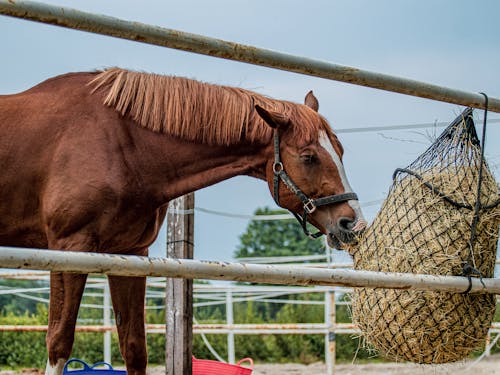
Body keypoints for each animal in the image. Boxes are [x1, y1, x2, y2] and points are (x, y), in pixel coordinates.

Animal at [0, 68, 368, 375]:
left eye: (340, 152)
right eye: (309, 157)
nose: (352, 224)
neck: (119, 144)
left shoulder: (130, 256)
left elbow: (134, 348)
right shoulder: (69, 248)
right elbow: (59, 343)